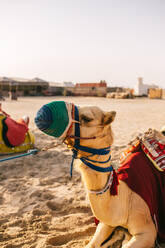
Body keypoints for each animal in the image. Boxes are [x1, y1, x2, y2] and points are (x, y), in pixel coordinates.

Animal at [34, 101, 164, 248]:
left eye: (86, 118)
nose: (42, 115)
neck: (124, 200)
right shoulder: (106, 222)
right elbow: (92, 244)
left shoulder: (148, 229)